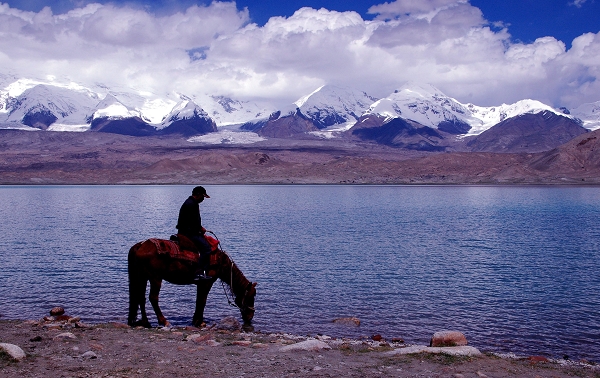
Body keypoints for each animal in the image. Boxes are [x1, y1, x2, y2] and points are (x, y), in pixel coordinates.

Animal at [126, 239, 255, 328]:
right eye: (251, 296)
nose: (250, 317)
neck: (220, 262)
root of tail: (141, 245)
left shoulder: (201, 284)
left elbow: (199, 301)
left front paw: (196, 320)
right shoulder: (206, 283)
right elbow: (202, 301)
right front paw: (200, 322)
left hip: (143, 277)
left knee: (140, 298)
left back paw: (146, 322)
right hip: (155, 278)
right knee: (153, 298)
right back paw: (164, 321)